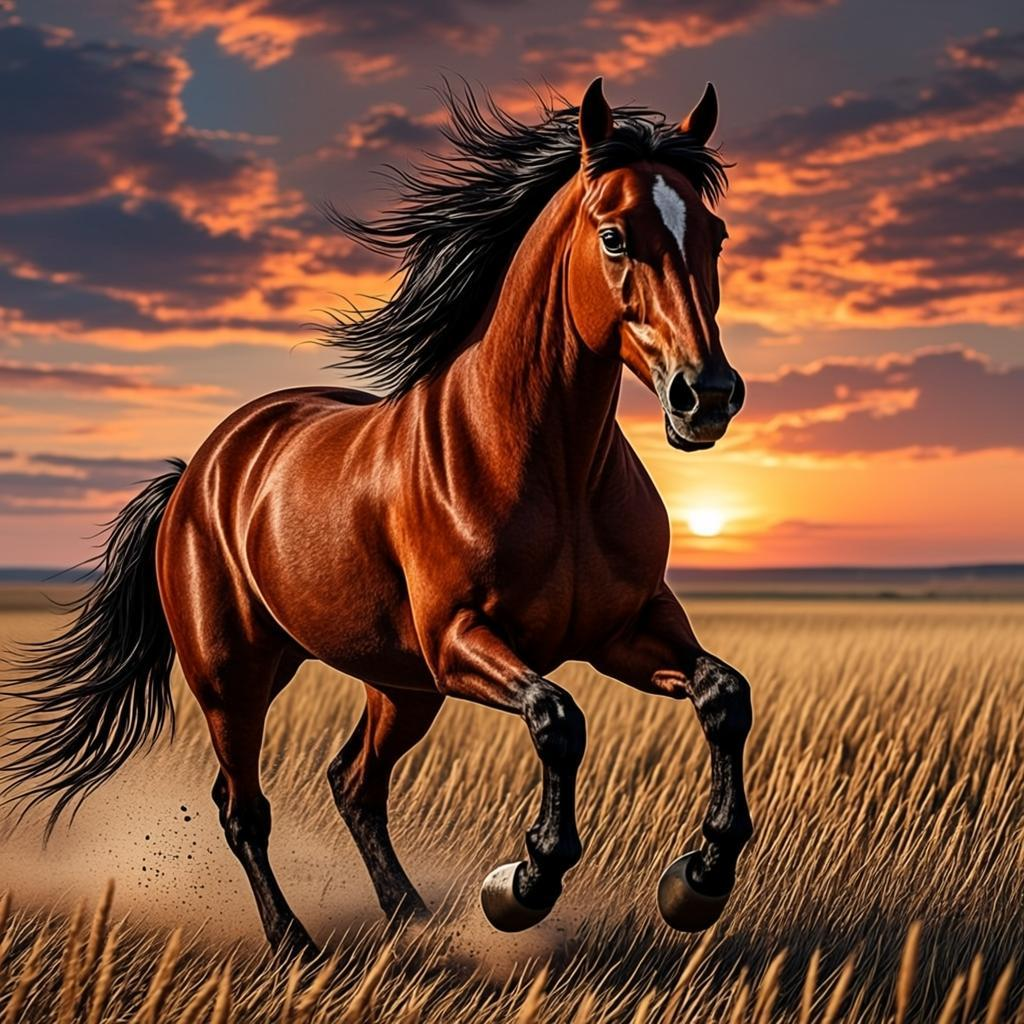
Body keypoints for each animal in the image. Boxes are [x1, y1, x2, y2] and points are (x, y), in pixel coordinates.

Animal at [2, 78, 753, 958]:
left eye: (716, 234)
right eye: (613, 236)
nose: (706, 396)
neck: (552, 470)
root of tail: (200, 471)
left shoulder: (624, 631)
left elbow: (723, 695)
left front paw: (698, 880)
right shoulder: (461, 642)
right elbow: (557, 719)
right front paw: (522, 884)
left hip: (399, 685)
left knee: (353, 781)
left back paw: (411, 915)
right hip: (236, 677)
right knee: (244, 808)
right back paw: (294, 942)